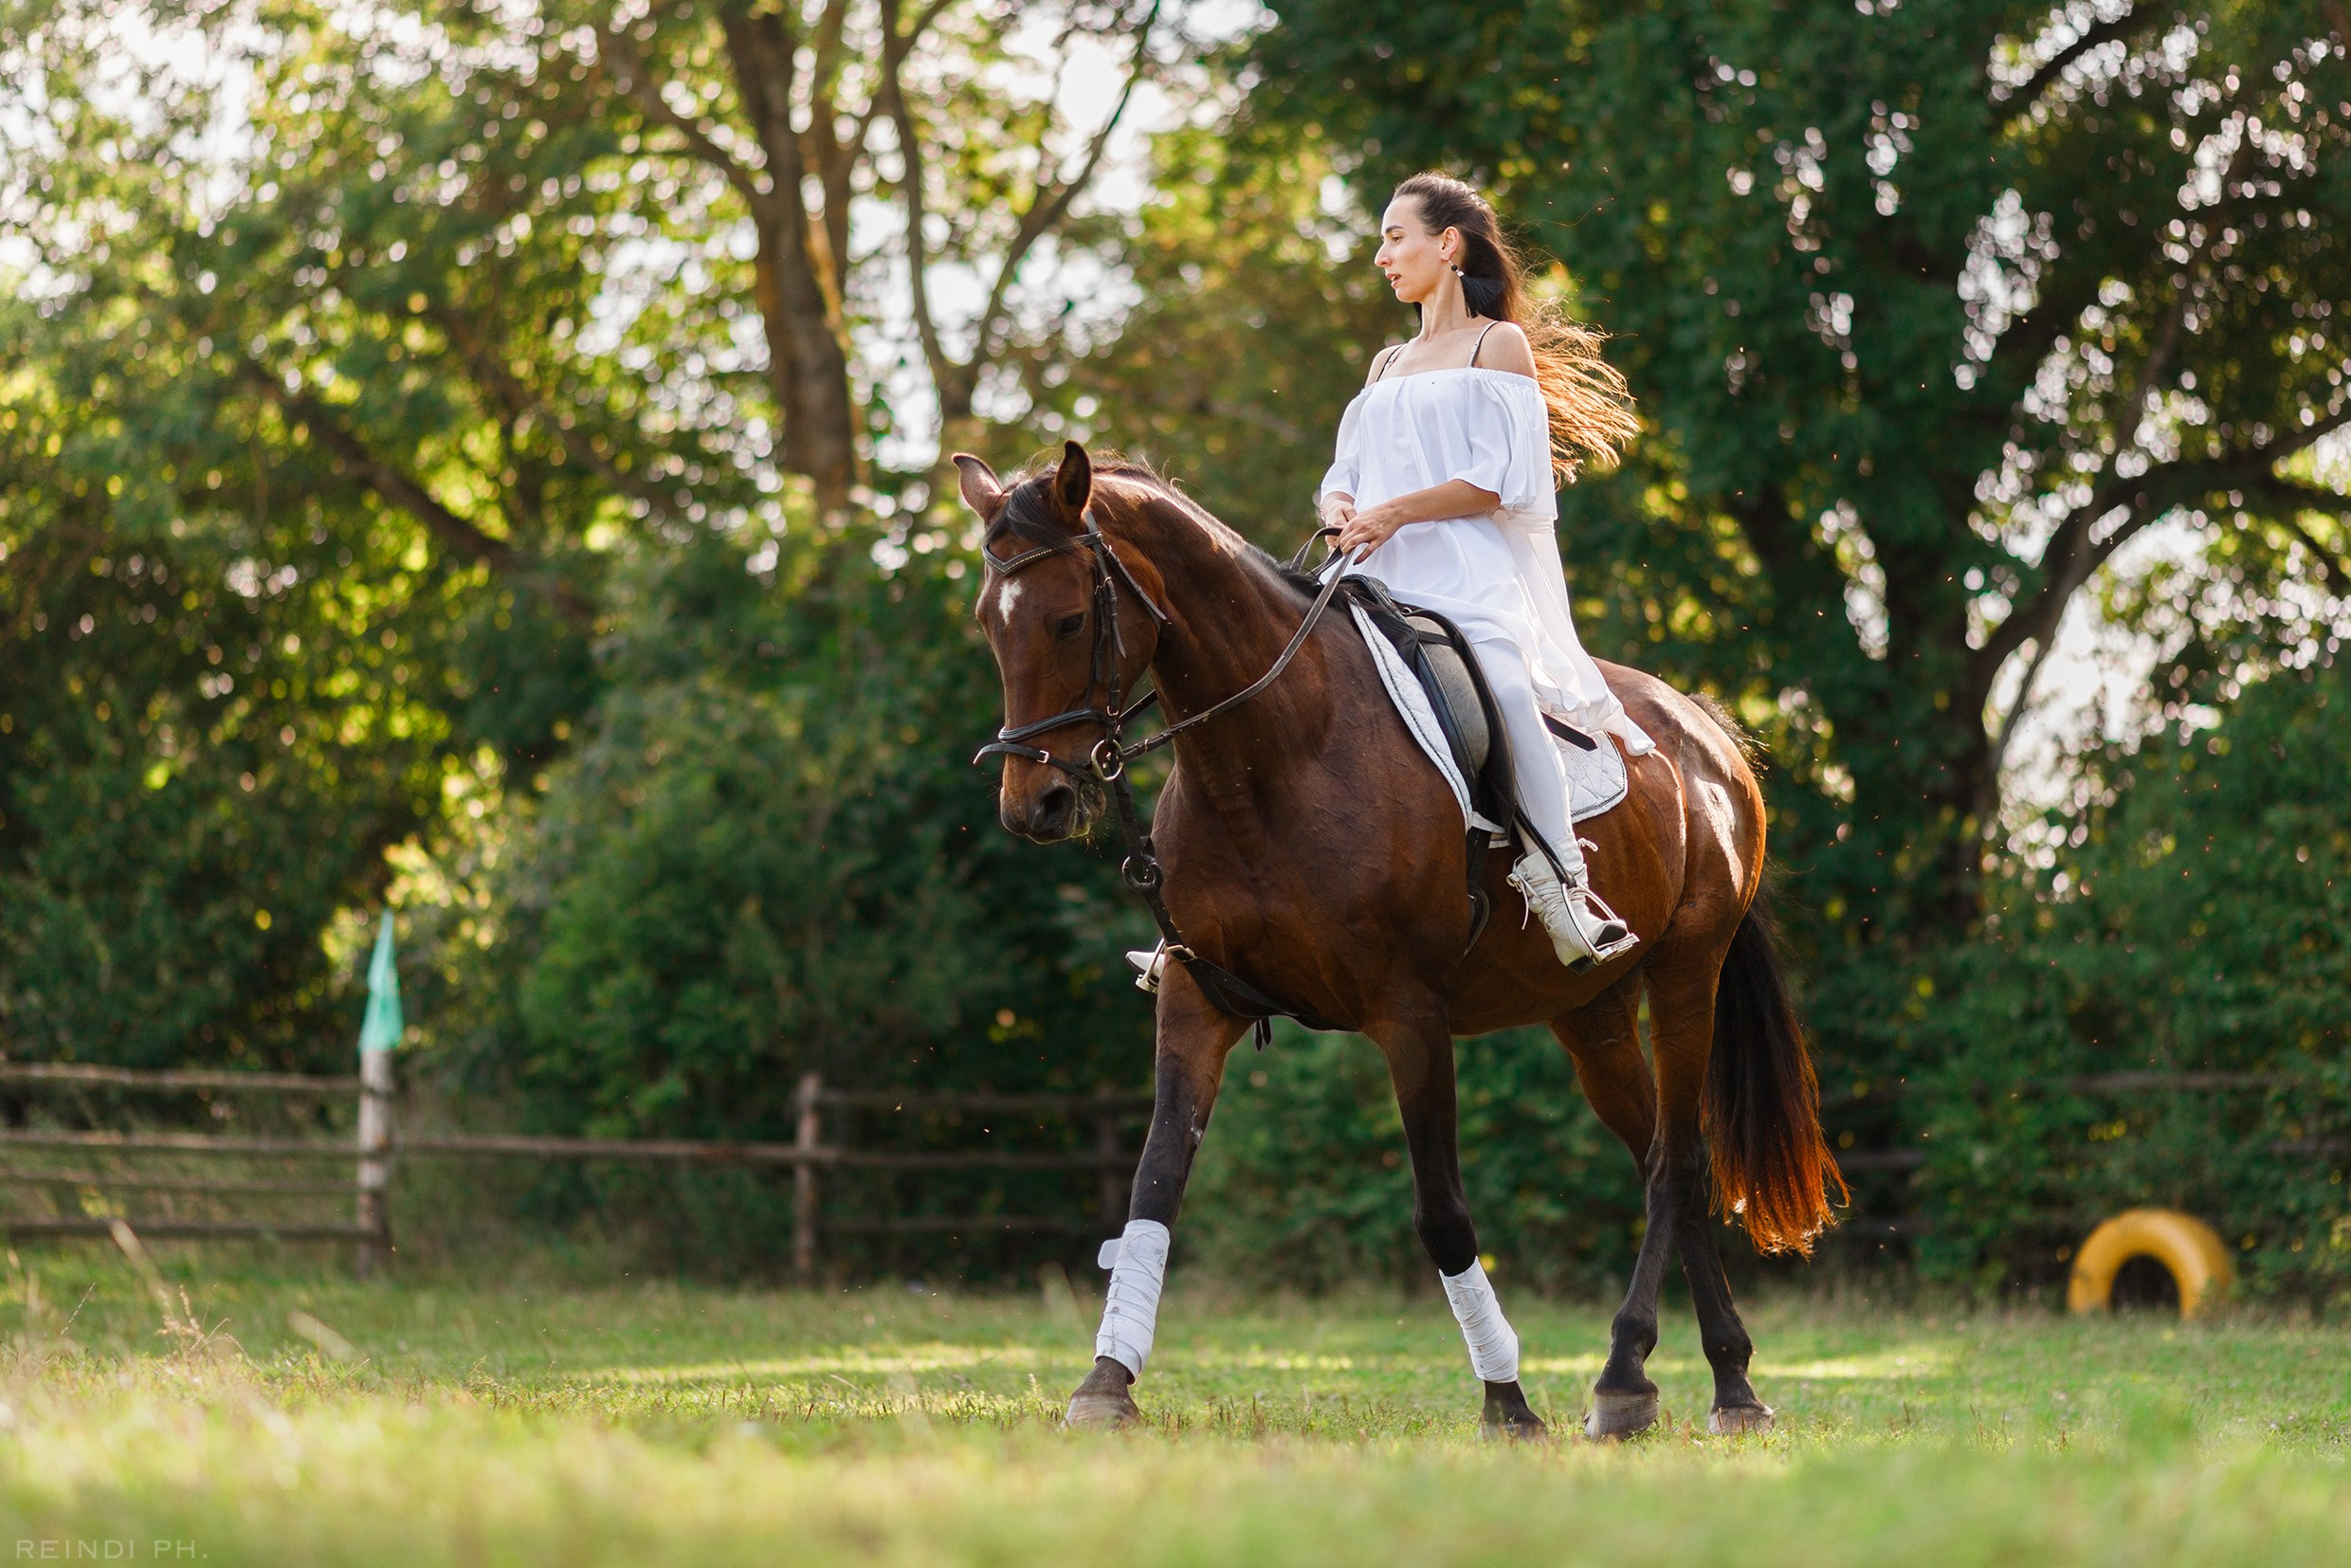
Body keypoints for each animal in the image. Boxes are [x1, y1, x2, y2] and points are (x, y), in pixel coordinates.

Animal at [958, 440, 1842, 1440]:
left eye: (1070, 621)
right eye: (990, 625)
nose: (1034, 805)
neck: (1271, 754)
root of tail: (1706, 734)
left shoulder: (1409, 1013)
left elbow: (1443, 1214)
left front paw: (1507, 1401)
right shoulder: (1199, 997)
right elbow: (1153, 1190)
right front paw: (1106, 1384)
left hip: (1689, 970)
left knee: (1677, 1162)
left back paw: (1627, 1373)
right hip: (1590, 1014)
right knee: (1661, 1154)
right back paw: (1724, 1381)